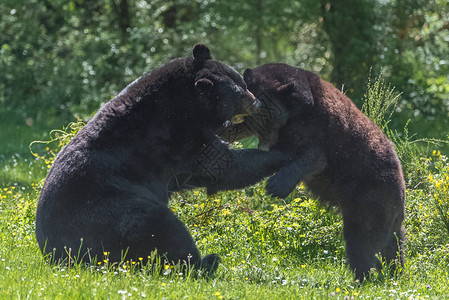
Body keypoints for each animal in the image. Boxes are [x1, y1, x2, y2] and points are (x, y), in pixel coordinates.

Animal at [35, 45, 288, 274]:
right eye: (241, 91)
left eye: (243, 84)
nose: (256, 102)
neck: (185, 105)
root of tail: (57, 257)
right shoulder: (176, 139)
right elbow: (226, 167)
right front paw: (284, 154)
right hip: (110, 214)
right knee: (162, 227)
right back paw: (204, 262)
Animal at [222, 63, 404, 282]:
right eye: (254, 117)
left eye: (269, 115)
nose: (264, 142)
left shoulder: (317, 127)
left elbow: (313, 158)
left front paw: (275, 186)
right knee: (394, 245)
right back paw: (394, 271)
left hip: (369, 198)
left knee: (361, 240)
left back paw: (364, 275)